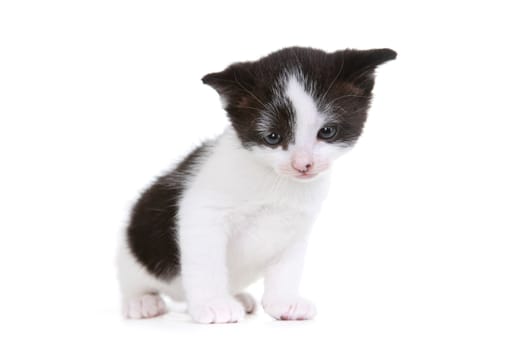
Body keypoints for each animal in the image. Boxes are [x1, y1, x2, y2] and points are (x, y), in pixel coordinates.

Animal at [116, 45, 396, 322]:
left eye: (327, 132)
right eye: (272, 137)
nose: (303, 164)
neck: (276, 182)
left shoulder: (297, 224)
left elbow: (288, 267)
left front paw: (284, 302)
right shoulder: (202, 213)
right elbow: (206, 261)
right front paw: (214, 305)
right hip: (138, 247)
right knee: (134, 281)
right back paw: (143, 302)